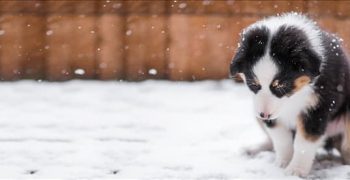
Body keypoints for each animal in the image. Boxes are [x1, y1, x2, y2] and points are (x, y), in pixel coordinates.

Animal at [230, 13, 350, 177]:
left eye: (280, 85)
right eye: (254, 84)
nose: (264, 115)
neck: (293, 96)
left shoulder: (317, 108)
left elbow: (304, 143)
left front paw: (296, 171)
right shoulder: (269, 112)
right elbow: (281, 138)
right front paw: (282, 164)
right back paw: (253, 149)